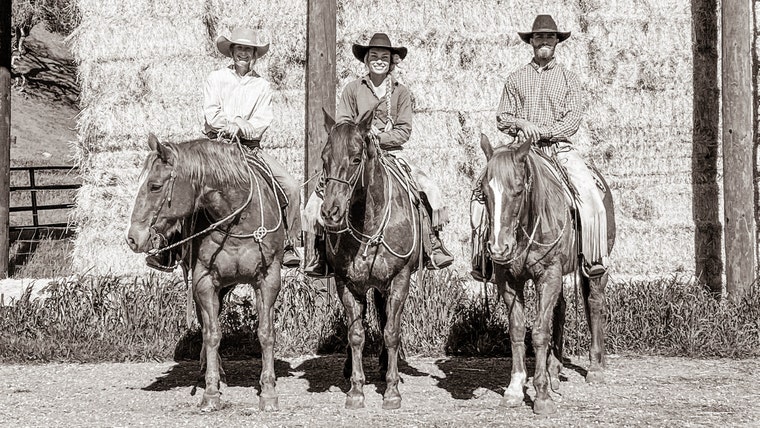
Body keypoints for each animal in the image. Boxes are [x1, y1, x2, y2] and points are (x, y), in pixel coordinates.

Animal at [126, 134, 285, 412]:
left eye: (155, 186)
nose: (133, 238)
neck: (236, 221)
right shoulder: (204, 282)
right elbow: (212, 334)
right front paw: (211, 393)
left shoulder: (268, 279)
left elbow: (266, 333)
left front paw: (268, 393)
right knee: (204, 322)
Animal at [319, 109, 422, 410]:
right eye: (324, 158)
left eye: (356, 158)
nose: (330, 212)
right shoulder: (346, 284)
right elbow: (356, 335)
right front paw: (356, 391)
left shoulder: (400, 280)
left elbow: (391, 332)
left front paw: (392, 391)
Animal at [478, 134, 616, 415]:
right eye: (484, 193)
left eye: (519, 189)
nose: (498, 248)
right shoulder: (508, 281)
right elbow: (518, 330)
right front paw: (514, 389)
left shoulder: (548, 275)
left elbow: (540, 332)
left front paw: (541, 395)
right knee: (560, 308)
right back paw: (555, 369)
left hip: (596, 267)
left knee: (595, 305)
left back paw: (595, 368)